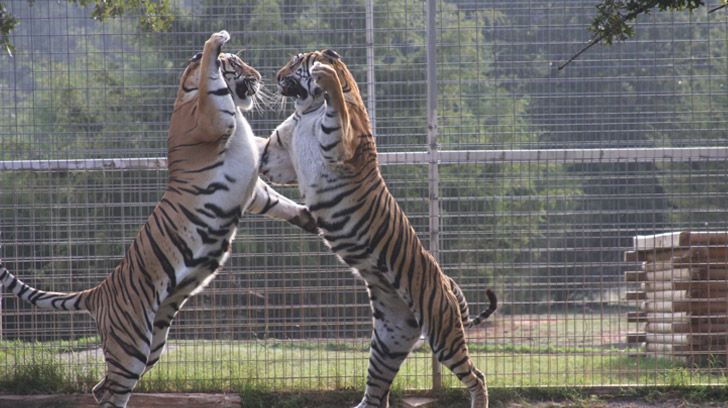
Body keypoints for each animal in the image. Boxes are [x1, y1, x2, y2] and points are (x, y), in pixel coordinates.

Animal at [0, 31, 316, 408]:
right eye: (238, 65)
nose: (258, 76)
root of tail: (98, 292)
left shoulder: (252, 189)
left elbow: (277, 202)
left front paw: (309, 219)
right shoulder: (214, 119)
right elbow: (211, 76)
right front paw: (217, 41)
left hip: (154, 341)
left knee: (101, 387)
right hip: (132, 344)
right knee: (111, 391)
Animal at [258, 49, 498, 408]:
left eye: (296, 61)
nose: (275, 74)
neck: (307, 111)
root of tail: (446, 280)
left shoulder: (337, 141)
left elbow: (337, 107)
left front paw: (325, 74)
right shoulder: (275, 158)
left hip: (442, 334)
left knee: (477, 376)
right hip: (389, 340)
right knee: (376, 392)